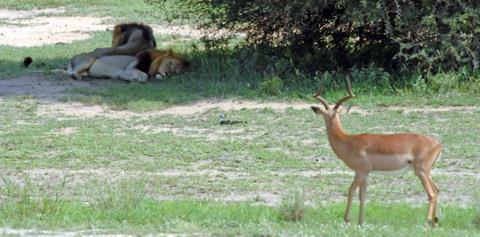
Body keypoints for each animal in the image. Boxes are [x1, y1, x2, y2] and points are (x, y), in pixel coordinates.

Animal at [312, 77, 442, 226]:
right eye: (326, 114)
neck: (347, 141)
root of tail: (438, 144)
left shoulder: (361, 171)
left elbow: (351, 191)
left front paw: (346, 219)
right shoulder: (365, 173)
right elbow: (362, 196)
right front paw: (361, 222)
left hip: (421, 171)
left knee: (431, 194)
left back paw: (427, 223)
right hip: (427, 172)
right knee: (437, 190)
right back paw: (434, 223)